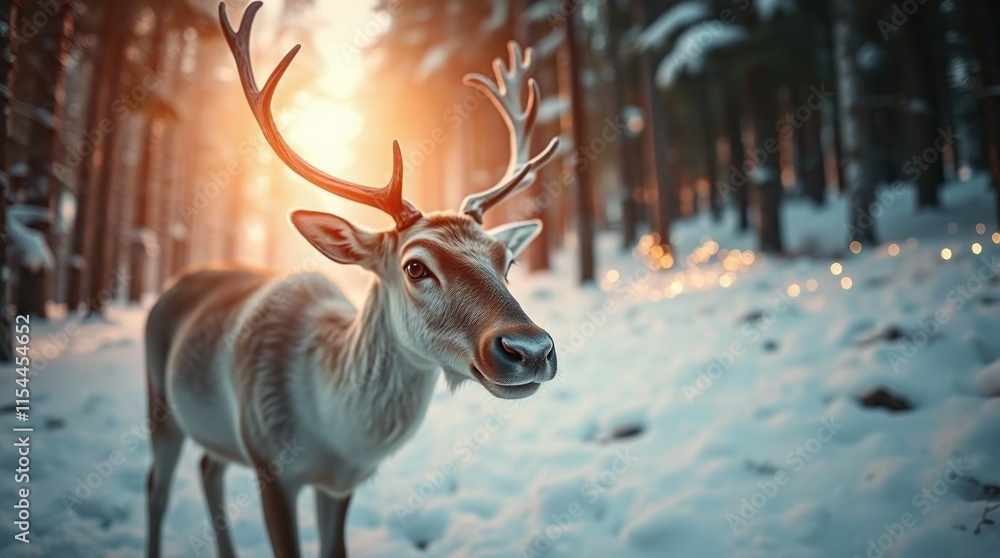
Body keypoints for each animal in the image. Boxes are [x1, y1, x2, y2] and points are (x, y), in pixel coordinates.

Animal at [144, 2, 561, 557]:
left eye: (507, 260)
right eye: (414, 265)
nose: (530, 349)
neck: (333, 434)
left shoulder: (342, 484)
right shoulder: (269, 462)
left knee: (208, 466)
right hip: (160, 401)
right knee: (158, 485)